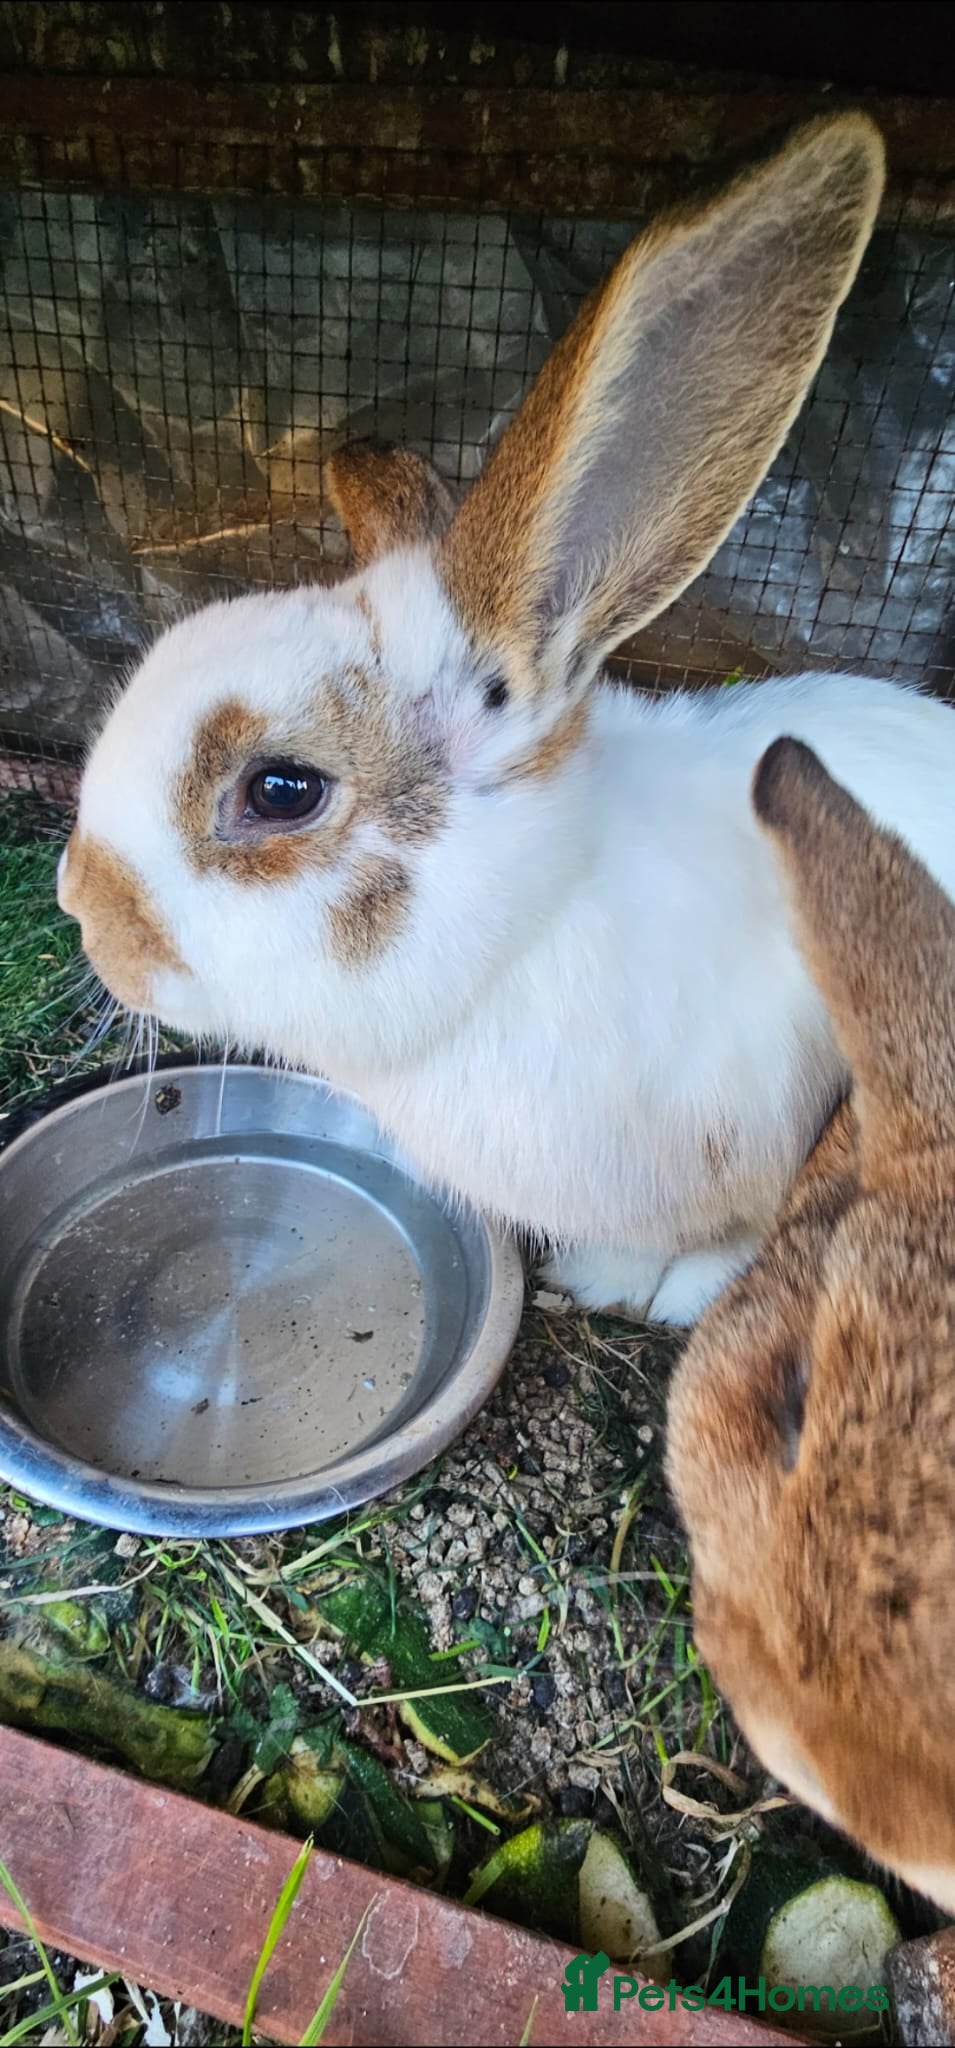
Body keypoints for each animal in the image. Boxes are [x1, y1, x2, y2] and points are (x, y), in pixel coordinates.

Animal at [56, 112, 955, 1326]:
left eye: (281, 789)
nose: (80, 907)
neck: (530, 926)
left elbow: (740, 1234)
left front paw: (664, 1295)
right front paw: (598, 1273)